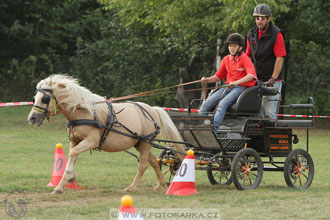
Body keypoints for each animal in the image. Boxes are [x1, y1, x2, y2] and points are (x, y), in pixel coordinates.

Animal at [27, 74, 186, 194]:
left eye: (45, 98)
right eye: (35, 98)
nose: (32, 118)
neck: (82, 111)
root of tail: (152, 109)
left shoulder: (91, 141)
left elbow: (72, 155)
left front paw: (70, 178)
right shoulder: (75, 141)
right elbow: (71, 157)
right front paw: (60, 186)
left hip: (146, 143)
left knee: (143, 164)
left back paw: (132, 187)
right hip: (140, 143)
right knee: (153, 161)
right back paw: (161, 185)